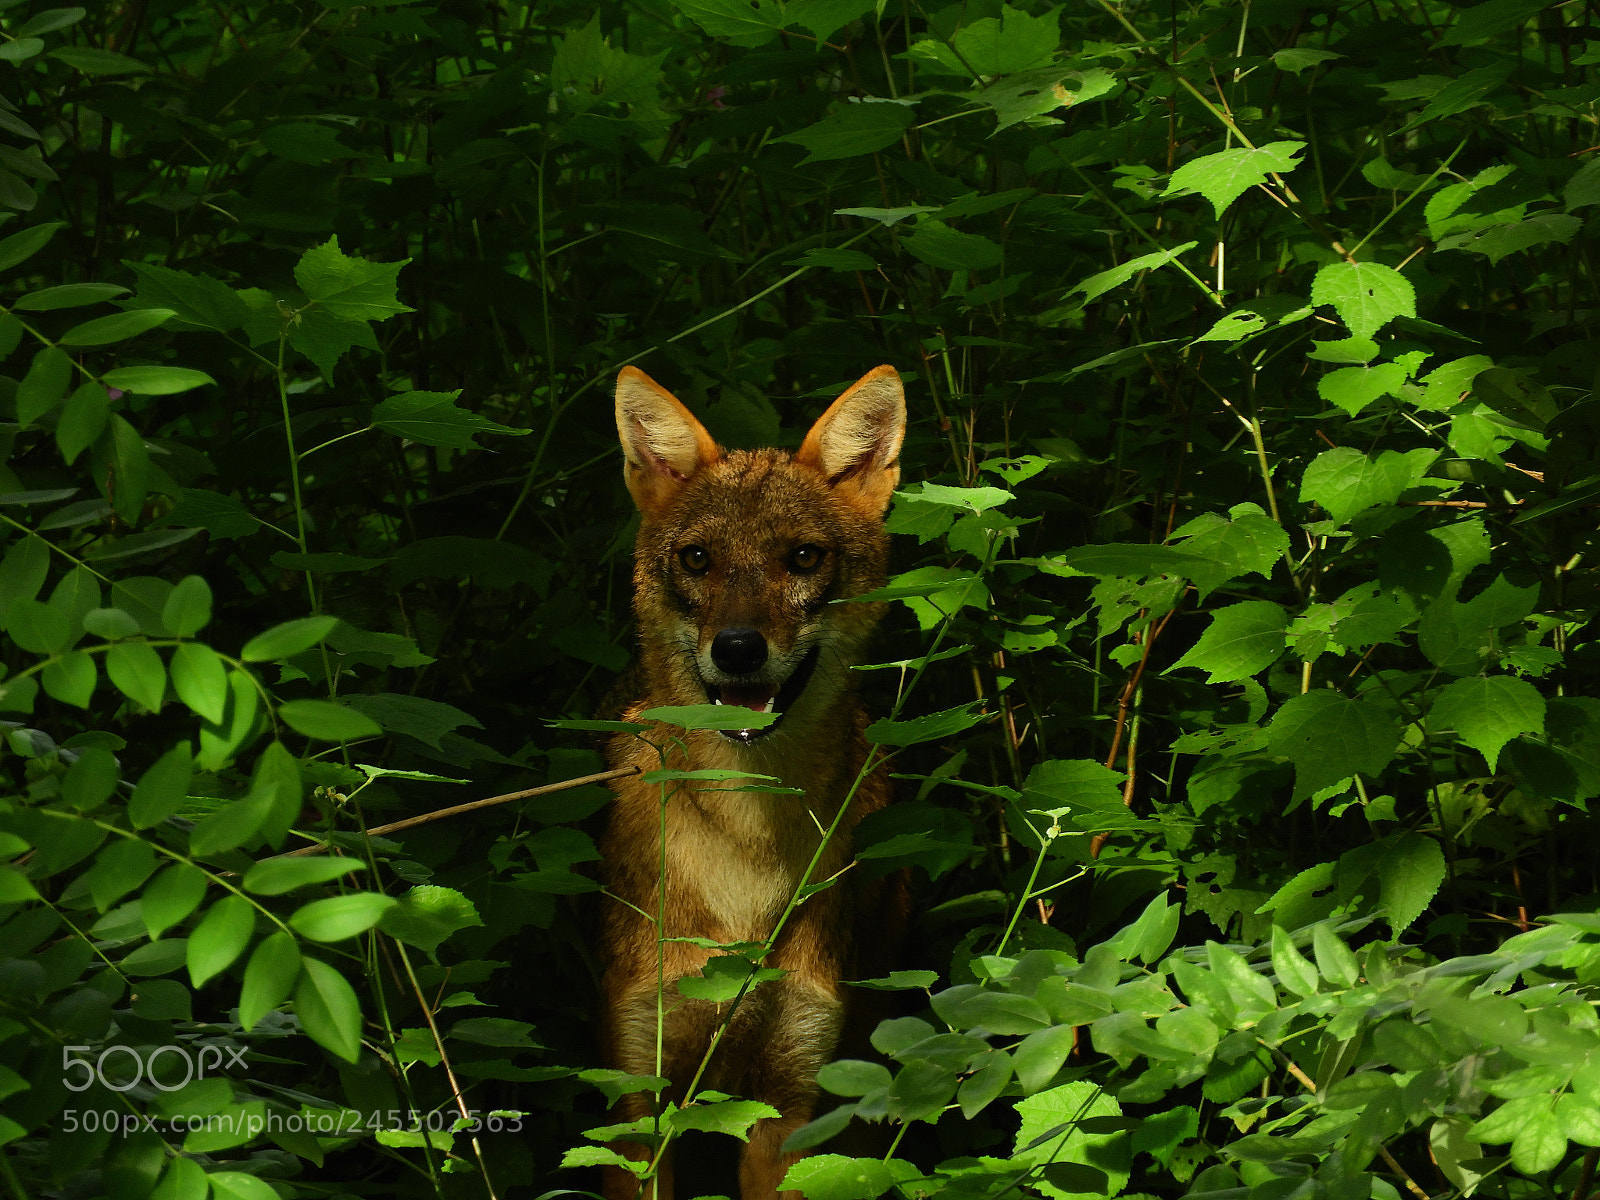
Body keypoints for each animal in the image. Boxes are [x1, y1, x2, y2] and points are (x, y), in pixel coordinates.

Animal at [598, 364, 909, 1200]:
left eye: (802, 558)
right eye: (698, 559)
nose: (738, 650)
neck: (746, 858)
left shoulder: (792, 1109)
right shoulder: (640, 1106)